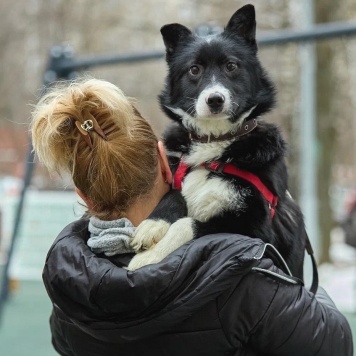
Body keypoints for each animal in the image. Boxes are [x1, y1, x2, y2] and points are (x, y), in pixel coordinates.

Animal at [127, 4, 306, 278]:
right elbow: (175, 195)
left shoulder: (256, 232)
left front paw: (149, 257)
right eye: (194, 69)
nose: (215, 100)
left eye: (231, 66)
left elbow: (188, 224)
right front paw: (151, 225)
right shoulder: (176, 175)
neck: (214, 141)